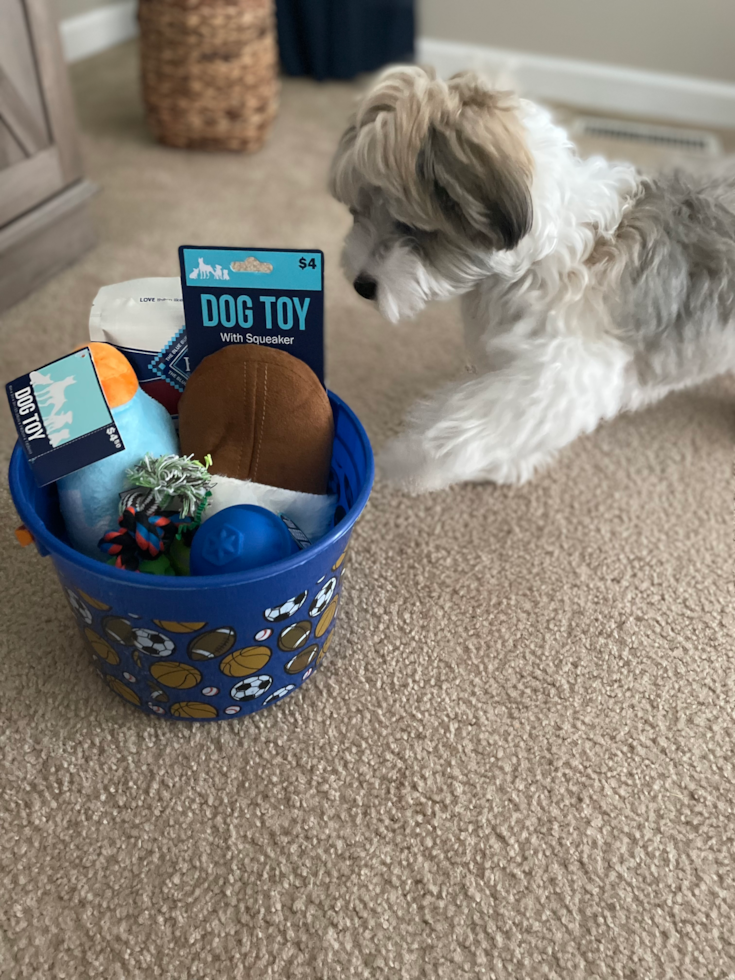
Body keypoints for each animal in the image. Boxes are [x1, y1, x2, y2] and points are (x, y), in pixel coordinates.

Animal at [332, 64, 735, 490]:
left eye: (410, 226)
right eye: (357, 212)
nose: (362, 285)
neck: (545, 252)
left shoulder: (559, 377)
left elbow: (468, 427)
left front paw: (408, 461)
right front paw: (511, 464)